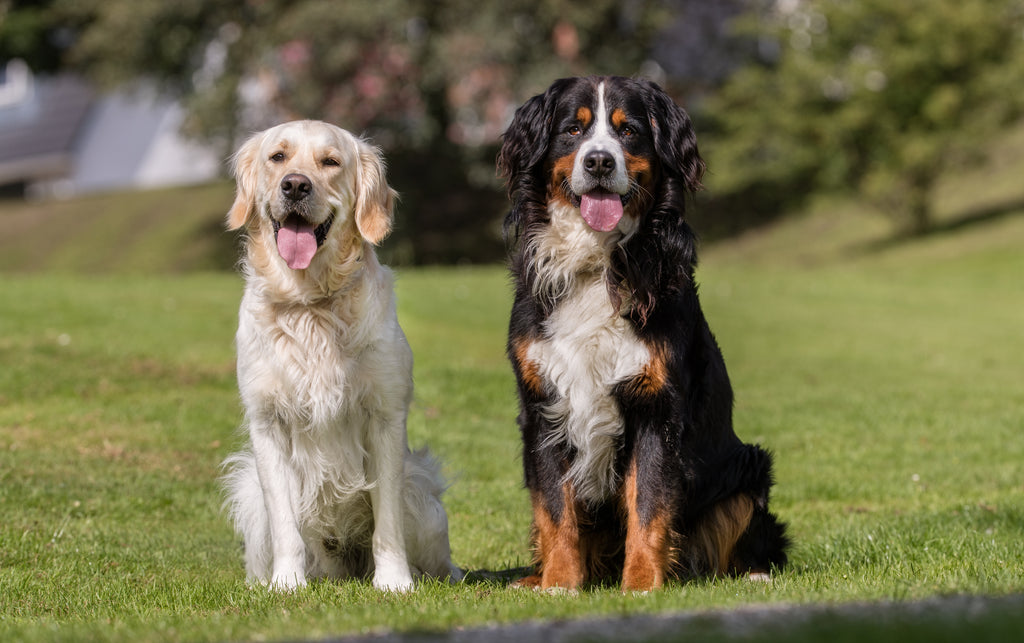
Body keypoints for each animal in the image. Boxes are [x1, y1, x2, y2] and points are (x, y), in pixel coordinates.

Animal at [224, 120, 464, 593]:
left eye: (330, 162)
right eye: (277, 157)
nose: (295, 185)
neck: (311, 305)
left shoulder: (384, 417)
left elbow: (386, 521)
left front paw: (394, 581)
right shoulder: (267, 422)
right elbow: (285, 522)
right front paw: (287, 581)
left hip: (422, 493)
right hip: (248, 495)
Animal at [499, 76, 786, 593]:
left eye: (628, 131)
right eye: (573, 130)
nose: (598, 161)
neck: (597, 265)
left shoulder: (657, 406)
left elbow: (649, 506)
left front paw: (642, 585)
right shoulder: (543, 405)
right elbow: (554, 509)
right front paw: (558, 583)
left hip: (748, 468)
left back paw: (751, 575)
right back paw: (533, 577)